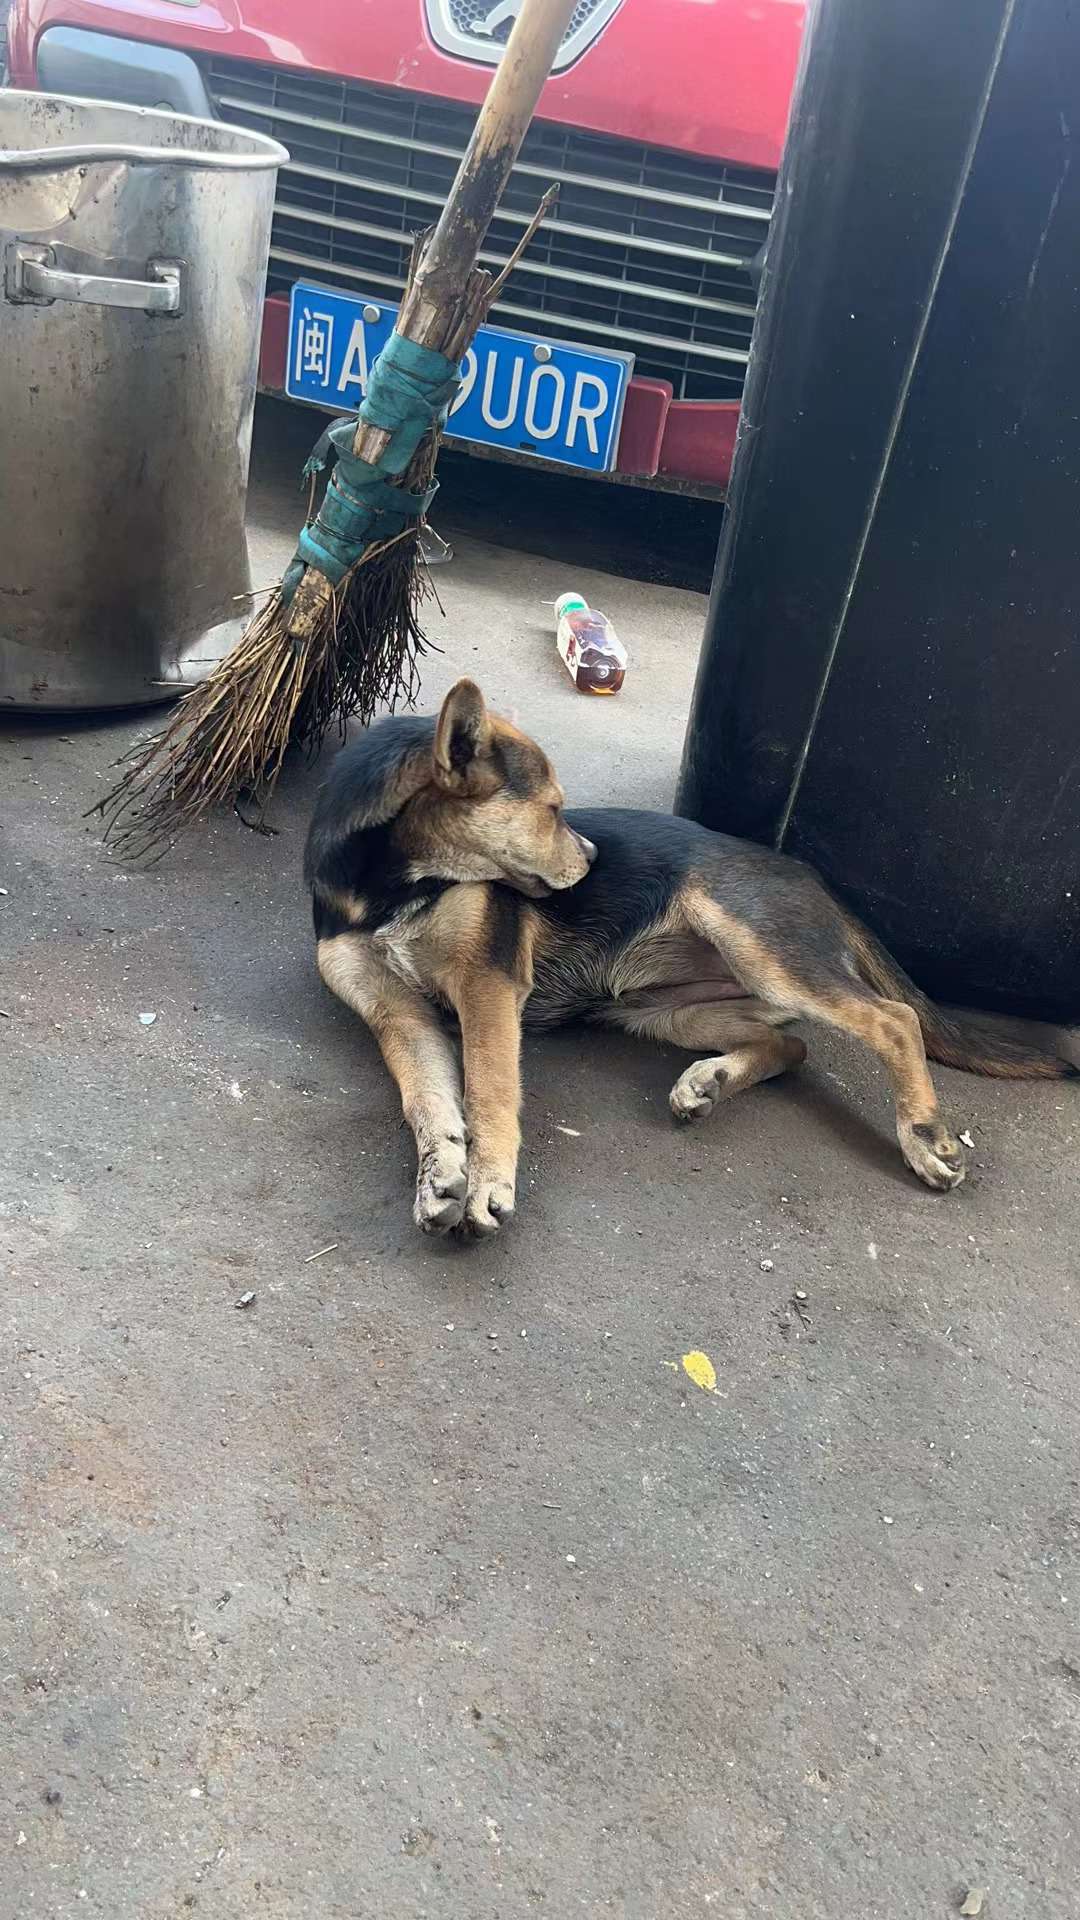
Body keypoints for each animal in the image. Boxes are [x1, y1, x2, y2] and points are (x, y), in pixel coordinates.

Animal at [305, 679, 1075, 1236]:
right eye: (552, 810)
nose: (592, 857)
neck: (390, 889)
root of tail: (817, 880)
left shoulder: (487, 986)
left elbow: (490, 1090)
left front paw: (489, 1181)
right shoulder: (399, 1015)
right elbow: (428, 1097)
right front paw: (440, 1173)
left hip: (758, 948)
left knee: (893, 1020)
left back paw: (920, 1134)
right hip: (662, 1011)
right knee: (791, 1047)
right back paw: (711, 1080)